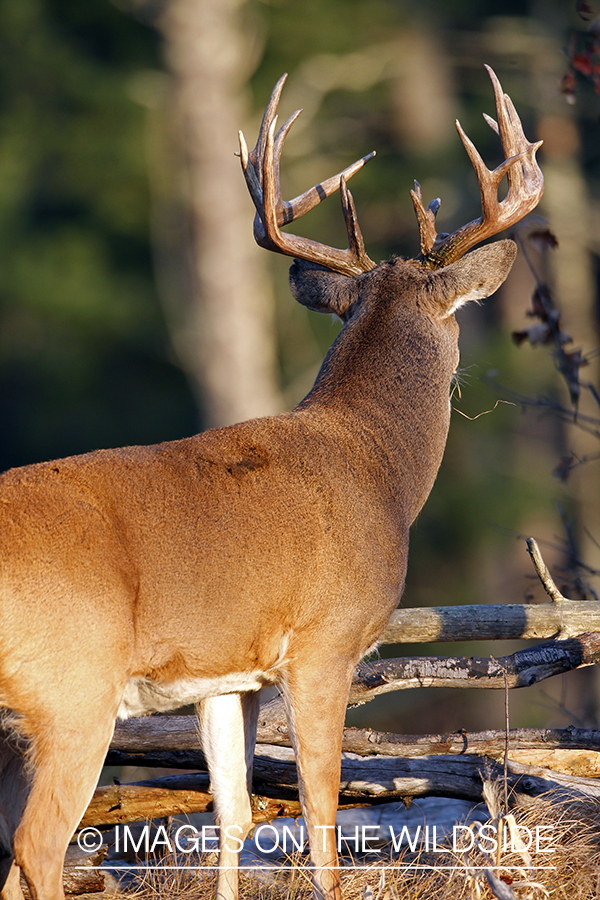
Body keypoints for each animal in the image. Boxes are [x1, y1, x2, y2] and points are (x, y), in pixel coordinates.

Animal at [0, 65, 540, 900]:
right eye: (456, 319)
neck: (378, 465)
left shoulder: (229, 676)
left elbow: (235, 812)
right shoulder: (326, 640)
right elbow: (319, 816)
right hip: (73, 689)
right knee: (39, 843)